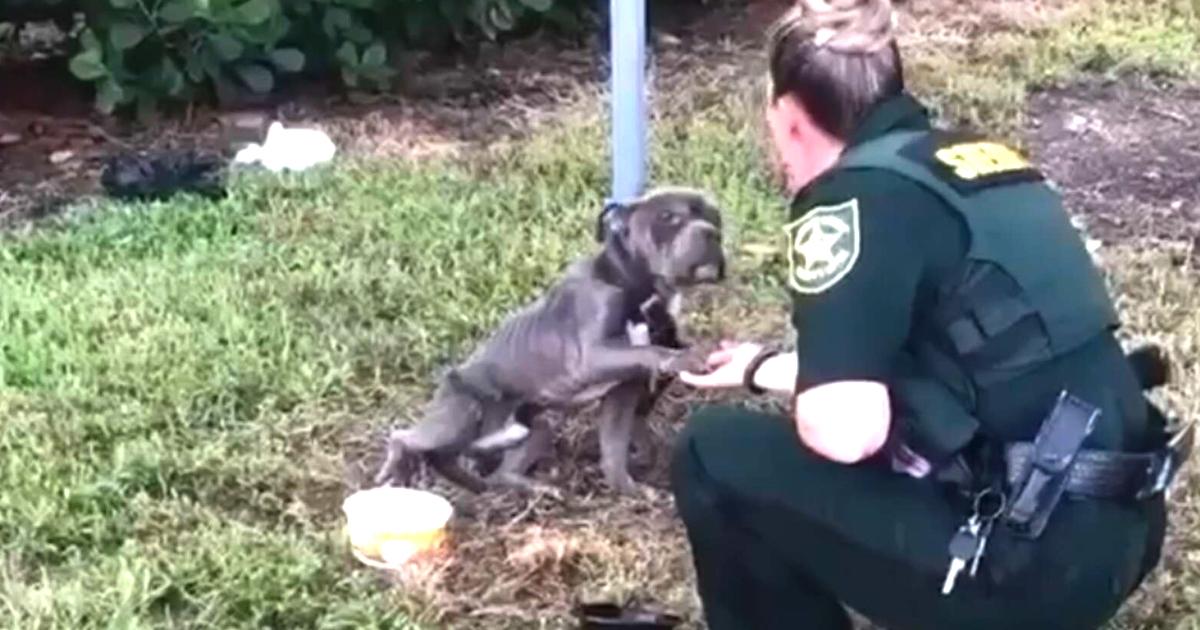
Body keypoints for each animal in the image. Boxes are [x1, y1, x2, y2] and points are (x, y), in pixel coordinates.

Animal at [374, 187, 724, 496]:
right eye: (668, 217)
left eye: (714, 216)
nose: (712, 233)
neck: (637, 289)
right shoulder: (592, 356)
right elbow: (651, 350)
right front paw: (685, 357)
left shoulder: (623, 393)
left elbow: (614, 450)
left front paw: (631, 488)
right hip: (461, 414)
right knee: (406, 438)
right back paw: (397, 468)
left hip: (534, 429)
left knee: (491, 472)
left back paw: (522, 488)